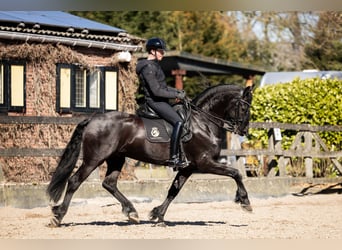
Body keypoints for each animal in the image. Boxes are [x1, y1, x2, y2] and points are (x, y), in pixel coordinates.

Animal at [46, 84, 252, 227]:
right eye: (244, 108)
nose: (244, 130)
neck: (202, 122)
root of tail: (93, 119)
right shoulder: (205, 163)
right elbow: (236, 173)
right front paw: (244, 201)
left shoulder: (188, 168)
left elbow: (173, 191)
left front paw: (158, 215)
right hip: (94, 158)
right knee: (75, 181)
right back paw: (58, 216)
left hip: (116, 158)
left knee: (109, 183)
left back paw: (131, 212)